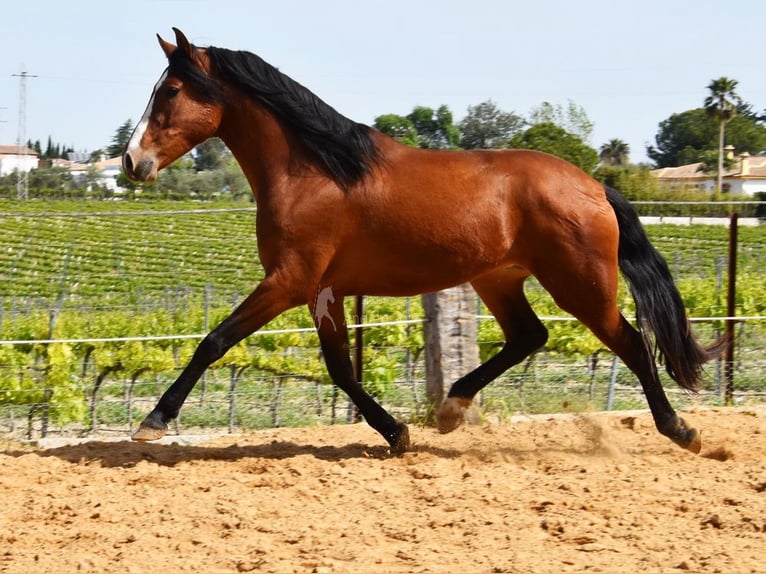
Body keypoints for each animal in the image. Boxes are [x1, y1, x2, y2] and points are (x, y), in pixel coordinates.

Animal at [124, 29, 728, 456]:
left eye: (171, 90)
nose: (132, 162)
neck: (316, 171)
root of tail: (595, 185)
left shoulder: (289, 282)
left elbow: (214, 341)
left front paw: (153, 421)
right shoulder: (323, 291)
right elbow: (341, 369)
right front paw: (396, 434)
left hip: (582, 286)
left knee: (632, 342)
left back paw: (682, 431)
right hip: (497, 279)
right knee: (529, 336)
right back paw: (450, 410)